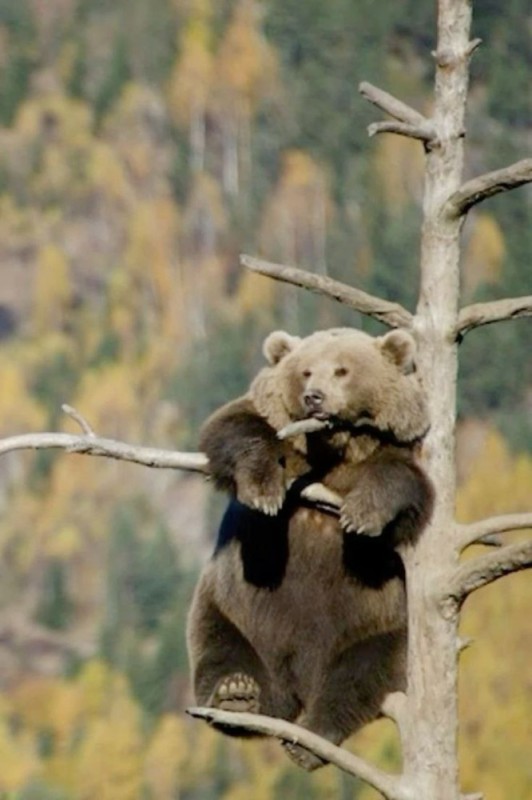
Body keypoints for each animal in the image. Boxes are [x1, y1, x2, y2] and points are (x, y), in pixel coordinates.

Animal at [187, 326, 432, 768]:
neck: (334, 446)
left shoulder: (399, 449)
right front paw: (264, 489)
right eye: (305, 371)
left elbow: (402, 481)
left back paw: (310, 738)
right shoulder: (272, 424)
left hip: (384, 627)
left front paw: (362, 515)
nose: (314, 397)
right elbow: (233, 428)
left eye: (342, 370)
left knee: (359, 676)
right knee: (221, 648)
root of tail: (297, 686)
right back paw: (236, 695)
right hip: (232, 611)